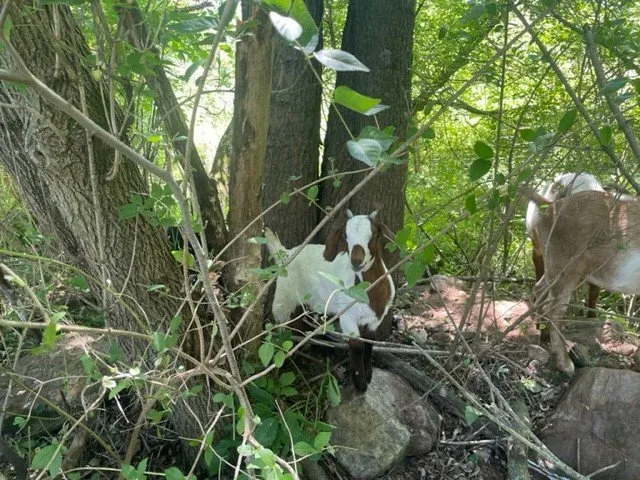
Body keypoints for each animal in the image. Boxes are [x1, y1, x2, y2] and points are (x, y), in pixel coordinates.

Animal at [265, 210, 395, 391]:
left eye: (374, 236)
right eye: (345, 237)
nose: (356, 261)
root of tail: (286, 254)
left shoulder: (375, 320)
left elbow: (369, 343)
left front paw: (368, 374)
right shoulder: (348, 318)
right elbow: (357, 347)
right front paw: (360, 384)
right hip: (283, 298)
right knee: (279, 327)